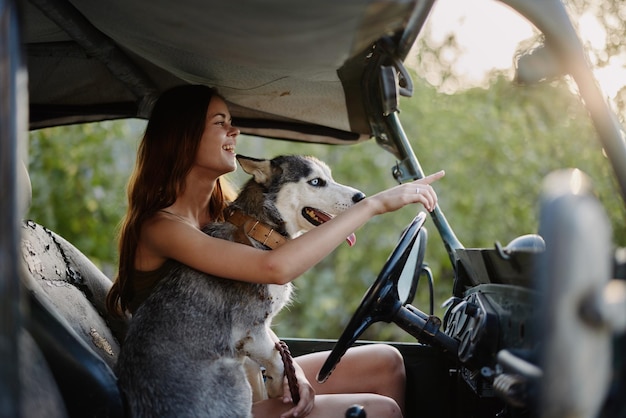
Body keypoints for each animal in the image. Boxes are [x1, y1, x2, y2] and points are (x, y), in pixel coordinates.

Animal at [114, 155, 364, 416]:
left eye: (330, 177)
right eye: (316, 181)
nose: (361, 196)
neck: (260, 229)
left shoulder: (253, 340)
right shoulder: (251, 329)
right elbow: (277, 360)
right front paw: (281, 387)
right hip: (234, 378)